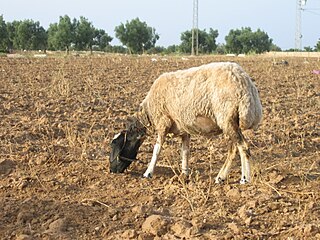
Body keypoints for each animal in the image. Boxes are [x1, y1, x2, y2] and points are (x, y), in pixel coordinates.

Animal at [110, 61, 262, 184]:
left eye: (117, 144)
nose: (112, 171)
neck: (148, 113)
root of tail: (246, 85)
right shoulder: (183, 128)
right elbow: (185, 151)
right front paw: (184, 174)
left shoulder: (163, 122)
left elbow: (156, 150)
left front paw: (148, 173)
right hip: (230, 121)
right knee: (233, 148)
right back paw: (221, 177)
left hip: (227, 117)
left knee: (243, 146)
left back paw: (244, 179)